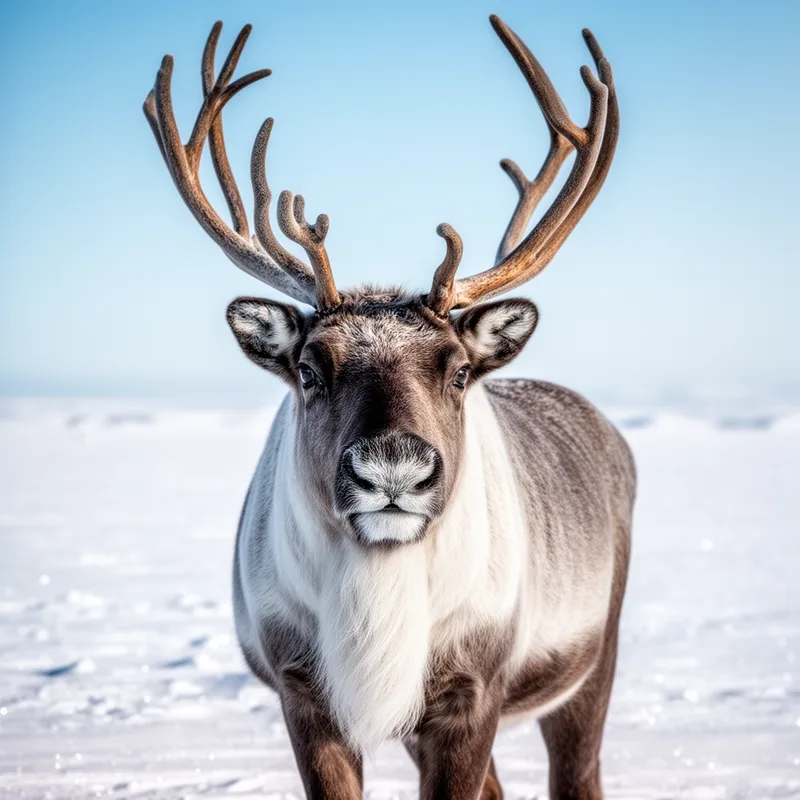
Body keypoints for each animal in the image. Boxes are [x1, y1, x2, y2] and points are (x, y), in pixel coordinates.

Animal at [144, 13, 634, 800]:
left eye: (459, 371)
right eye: (308, 369)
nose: (393, 471)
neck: (379, 590)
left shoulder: (472, 688)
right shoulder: (304, 690)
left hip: (591, 665)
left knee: (578, 773)